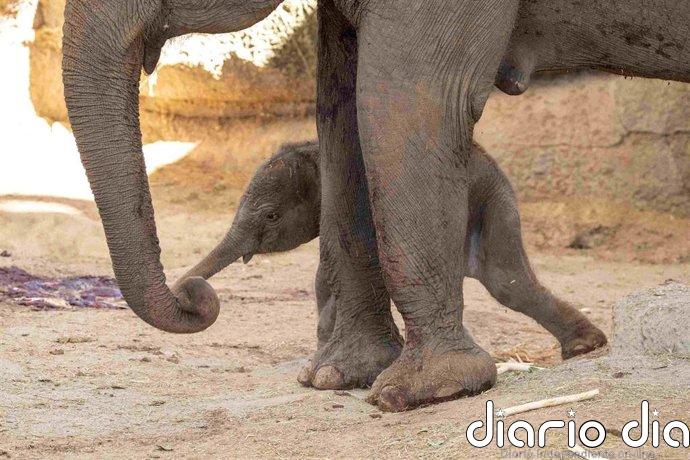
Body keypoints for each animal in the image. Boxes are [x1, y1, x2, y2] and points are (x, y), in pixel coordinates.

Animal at [177, 140, 607, 377]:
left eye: (270, 216)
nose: (190, 292)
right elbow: (325, 274)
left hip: (491, 198)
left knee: (506, 281)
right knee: (509, 282)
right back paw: (585, 346)